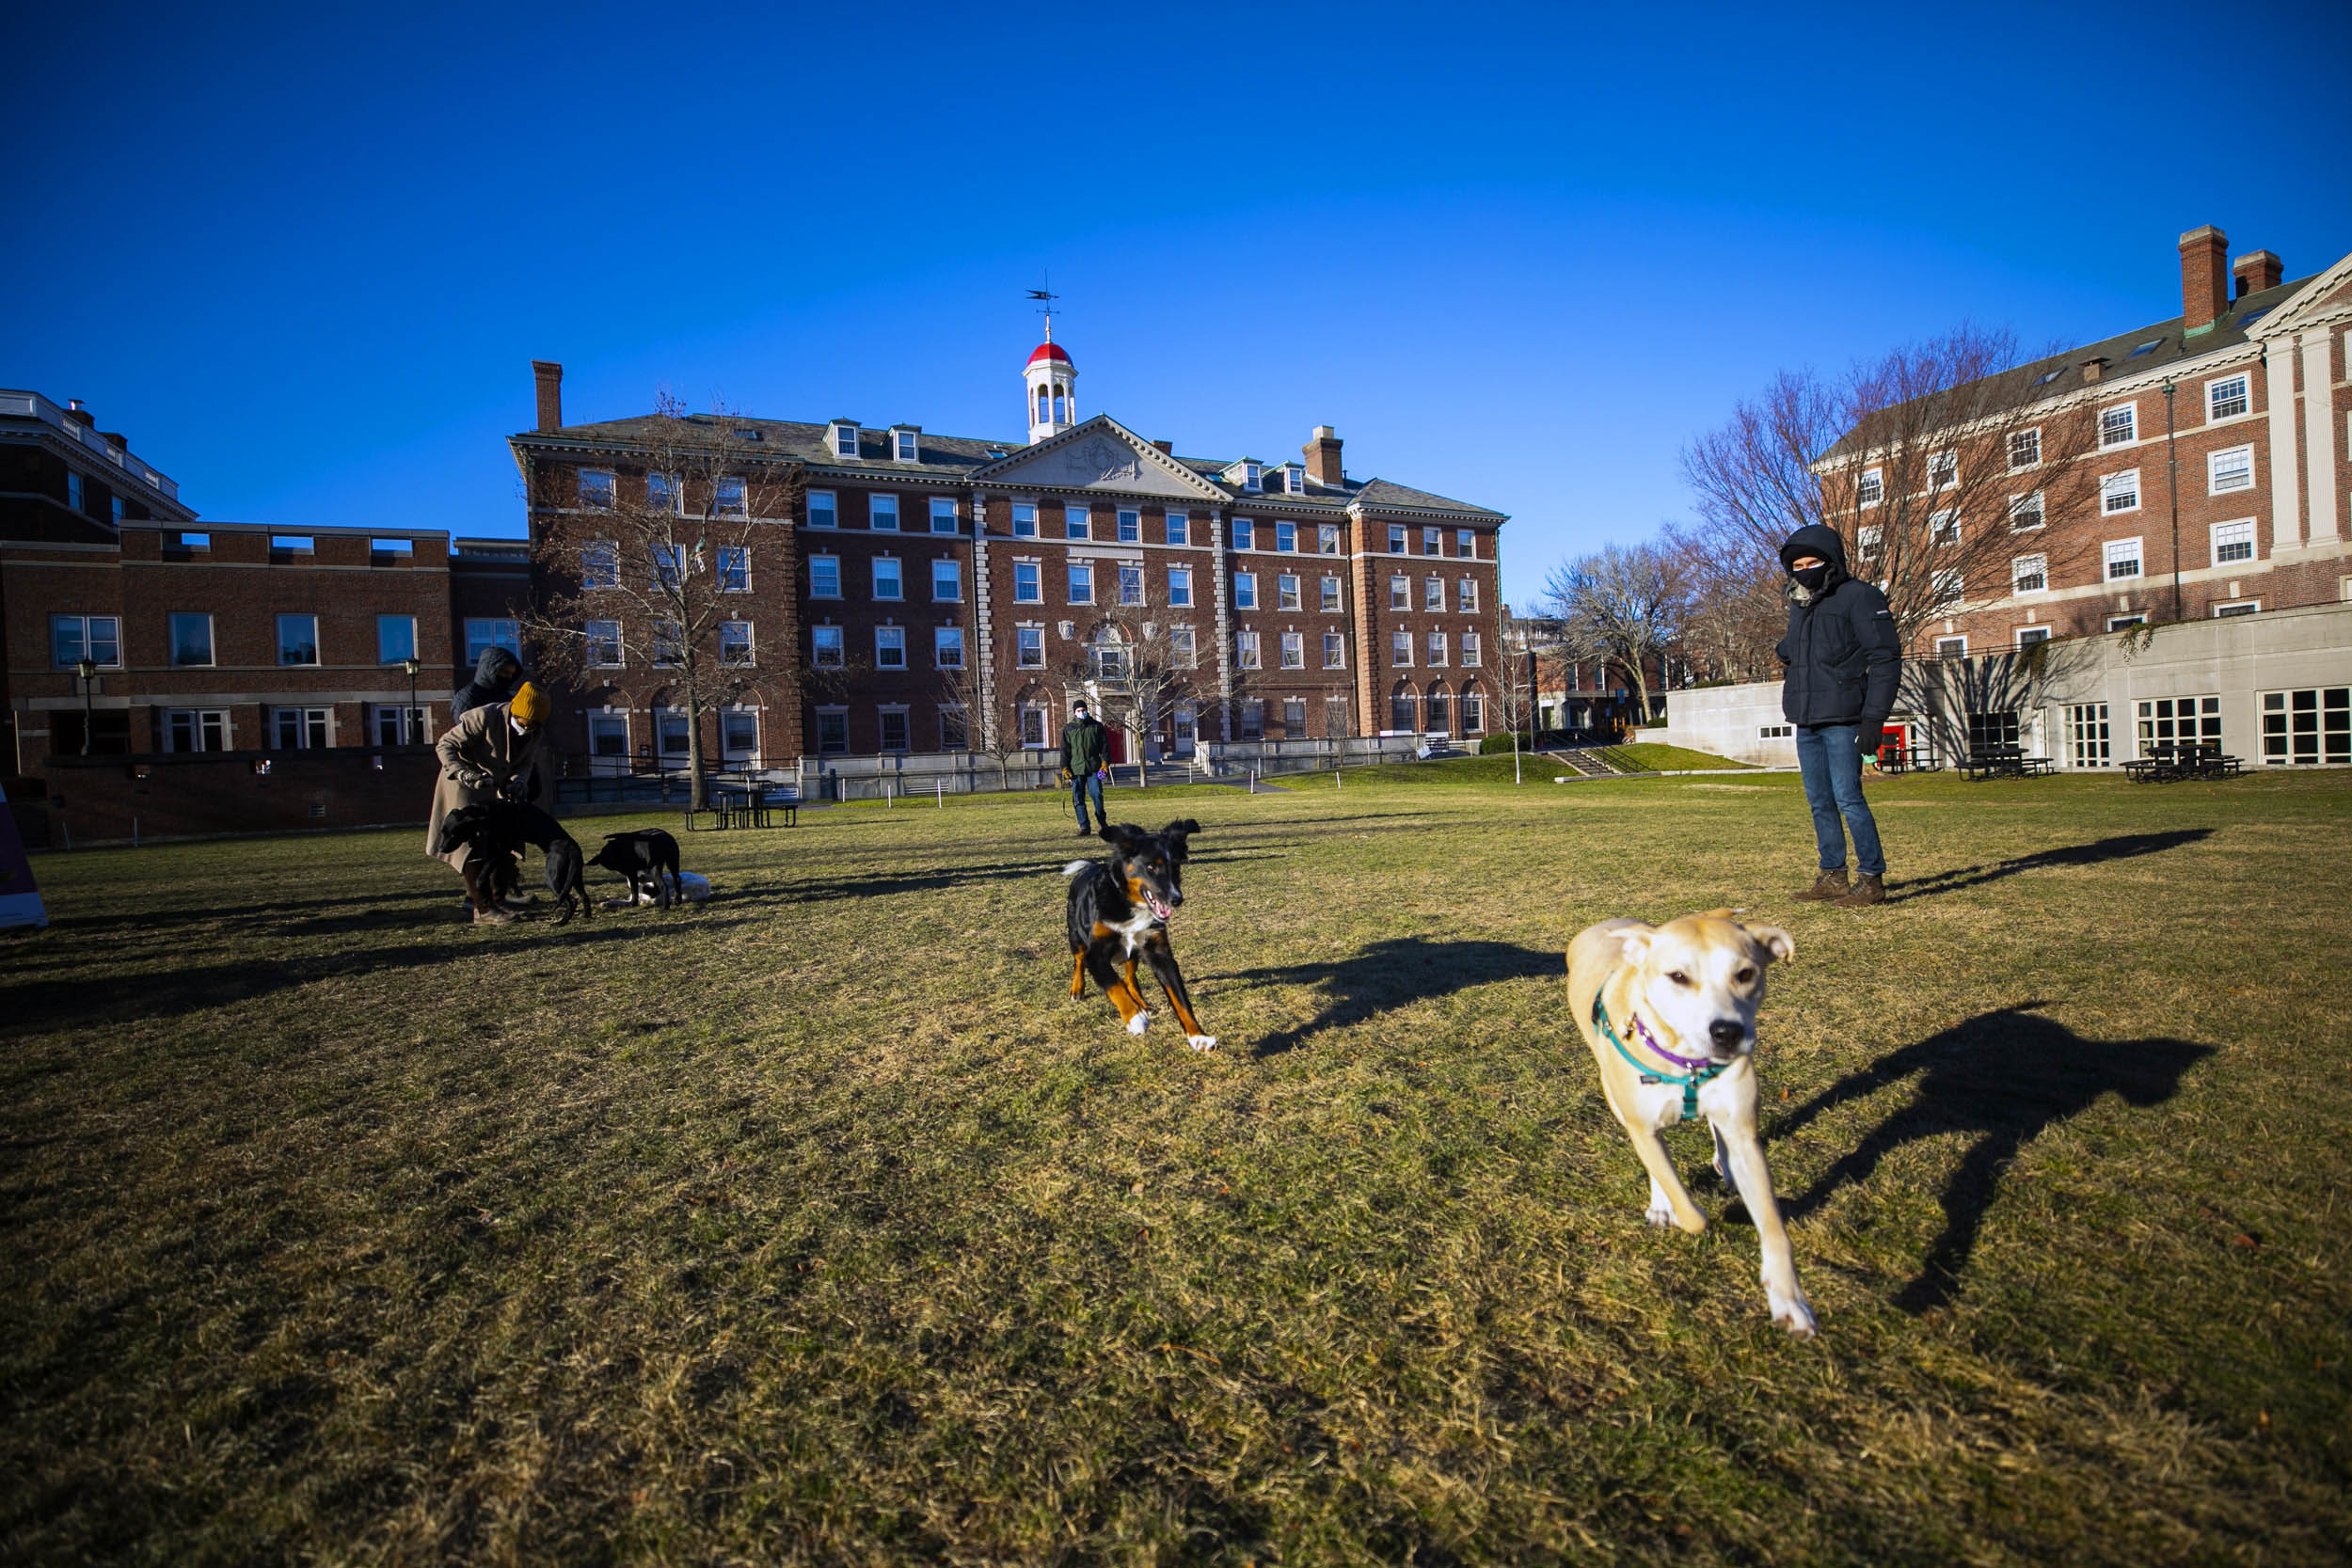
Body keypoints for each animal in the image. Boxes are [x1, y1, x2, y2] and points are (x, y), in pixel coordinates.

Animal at [437, 803, 593, 926]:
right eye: (442, 832)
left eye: (453, 834)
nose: (441, 849)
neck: (486, 813)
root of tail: (572, 848)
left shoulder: (503, 847)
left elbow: (489, 863)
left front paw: (480, 880)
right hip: (574, 877)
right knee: (584, 896)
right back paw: (586, 916)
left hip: (553, 879)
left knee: (572, 901)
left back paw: (561, 923)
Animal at [1063, 822, 1214, 1053]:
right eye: (1151, 867)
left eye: (1176, 866)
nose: (1176, 899)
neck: (1129, 904)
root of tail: (1088, 868)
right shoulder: (1096, 955)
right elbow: (1114, 985)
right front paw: (1134, 1019)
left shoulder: (1160, 954)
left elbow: (1181, 1001)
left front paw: (1198, 1036)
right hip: (1076, 936)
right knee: (1079, 961)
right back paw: (1077, 989)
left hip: (1133, 953)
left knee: (1130, 978)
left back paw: (1142, 1003)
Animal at [1562, 907, 1816, 1335]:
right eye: (1678, 976)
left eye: (1745, 974)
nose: (1728, 1032)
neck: (1687, 1062)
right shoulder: (1643, 1127)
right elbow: (1691, 1212)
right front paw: (1677, 1209)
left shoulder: (1744, 1133)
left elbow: (1774, 1226)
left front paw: (1789, 1300)